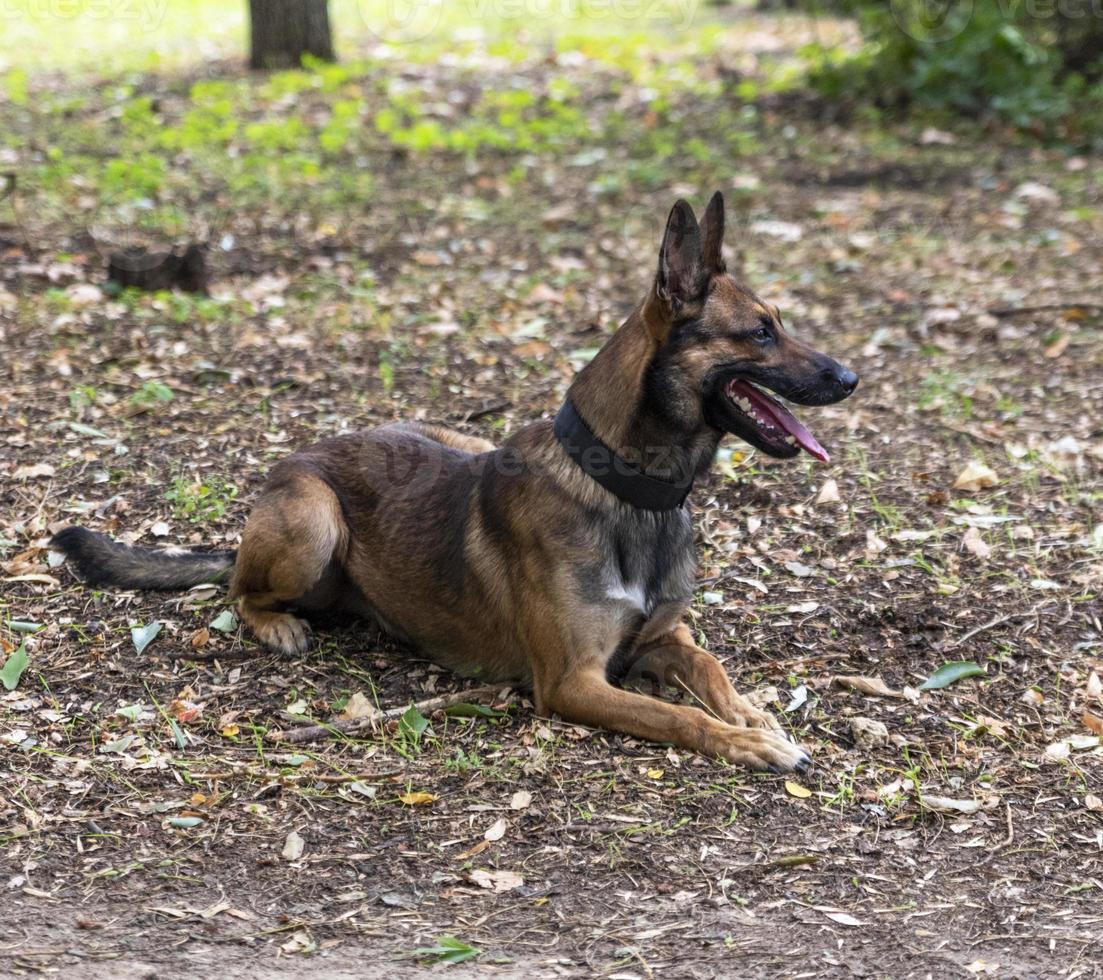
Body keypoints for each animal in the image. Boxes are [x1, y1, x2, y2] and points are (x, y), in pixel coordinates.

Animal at [55, 193, 855, 772]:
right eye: (760, 332)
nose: (850, 378)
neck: (627, 490)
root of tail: (299, 460)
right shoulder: (573, 682)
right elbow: (679, 713)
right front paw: (747, 740)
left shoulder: (664, 636)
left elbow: (710, 669)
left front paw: (751, 713)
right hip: (313, 518)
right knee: (237, 589)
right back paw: (278, 622)